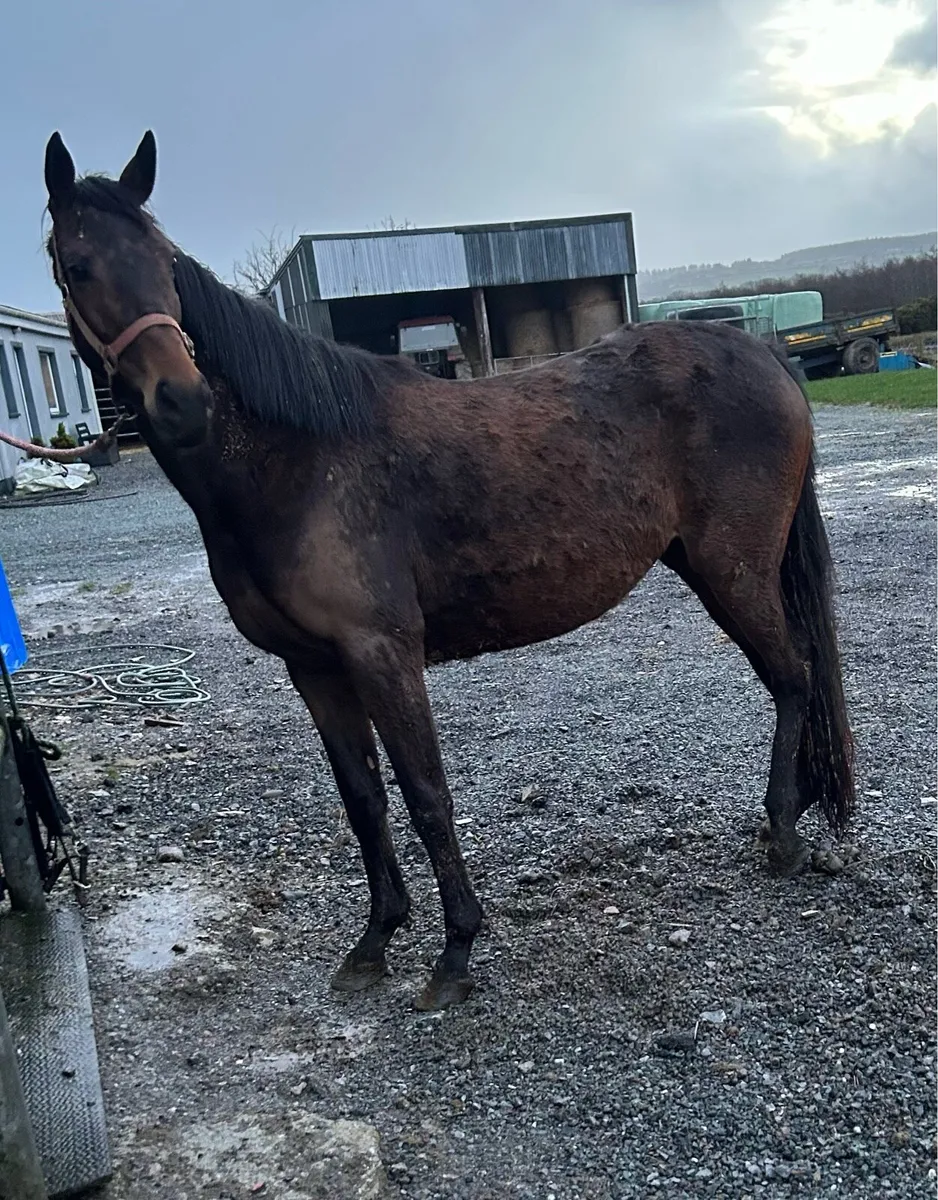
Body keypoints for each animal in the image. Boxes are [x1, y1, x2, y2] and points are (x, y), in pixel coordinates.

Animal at [43, 131, 854, 1011]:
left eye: (165, 262)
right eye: (78, 266)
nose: (184, 399)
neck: (297, 461)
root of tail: (760, 350)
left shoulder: (382, 653)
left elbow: (426, 795)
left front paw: (456, 950)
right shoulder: (313, 668)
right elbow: (363, 799)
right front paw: (374, 940)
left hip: (732, 572)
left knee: (793, 676)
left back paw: (782, 834)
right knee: (791, 678)